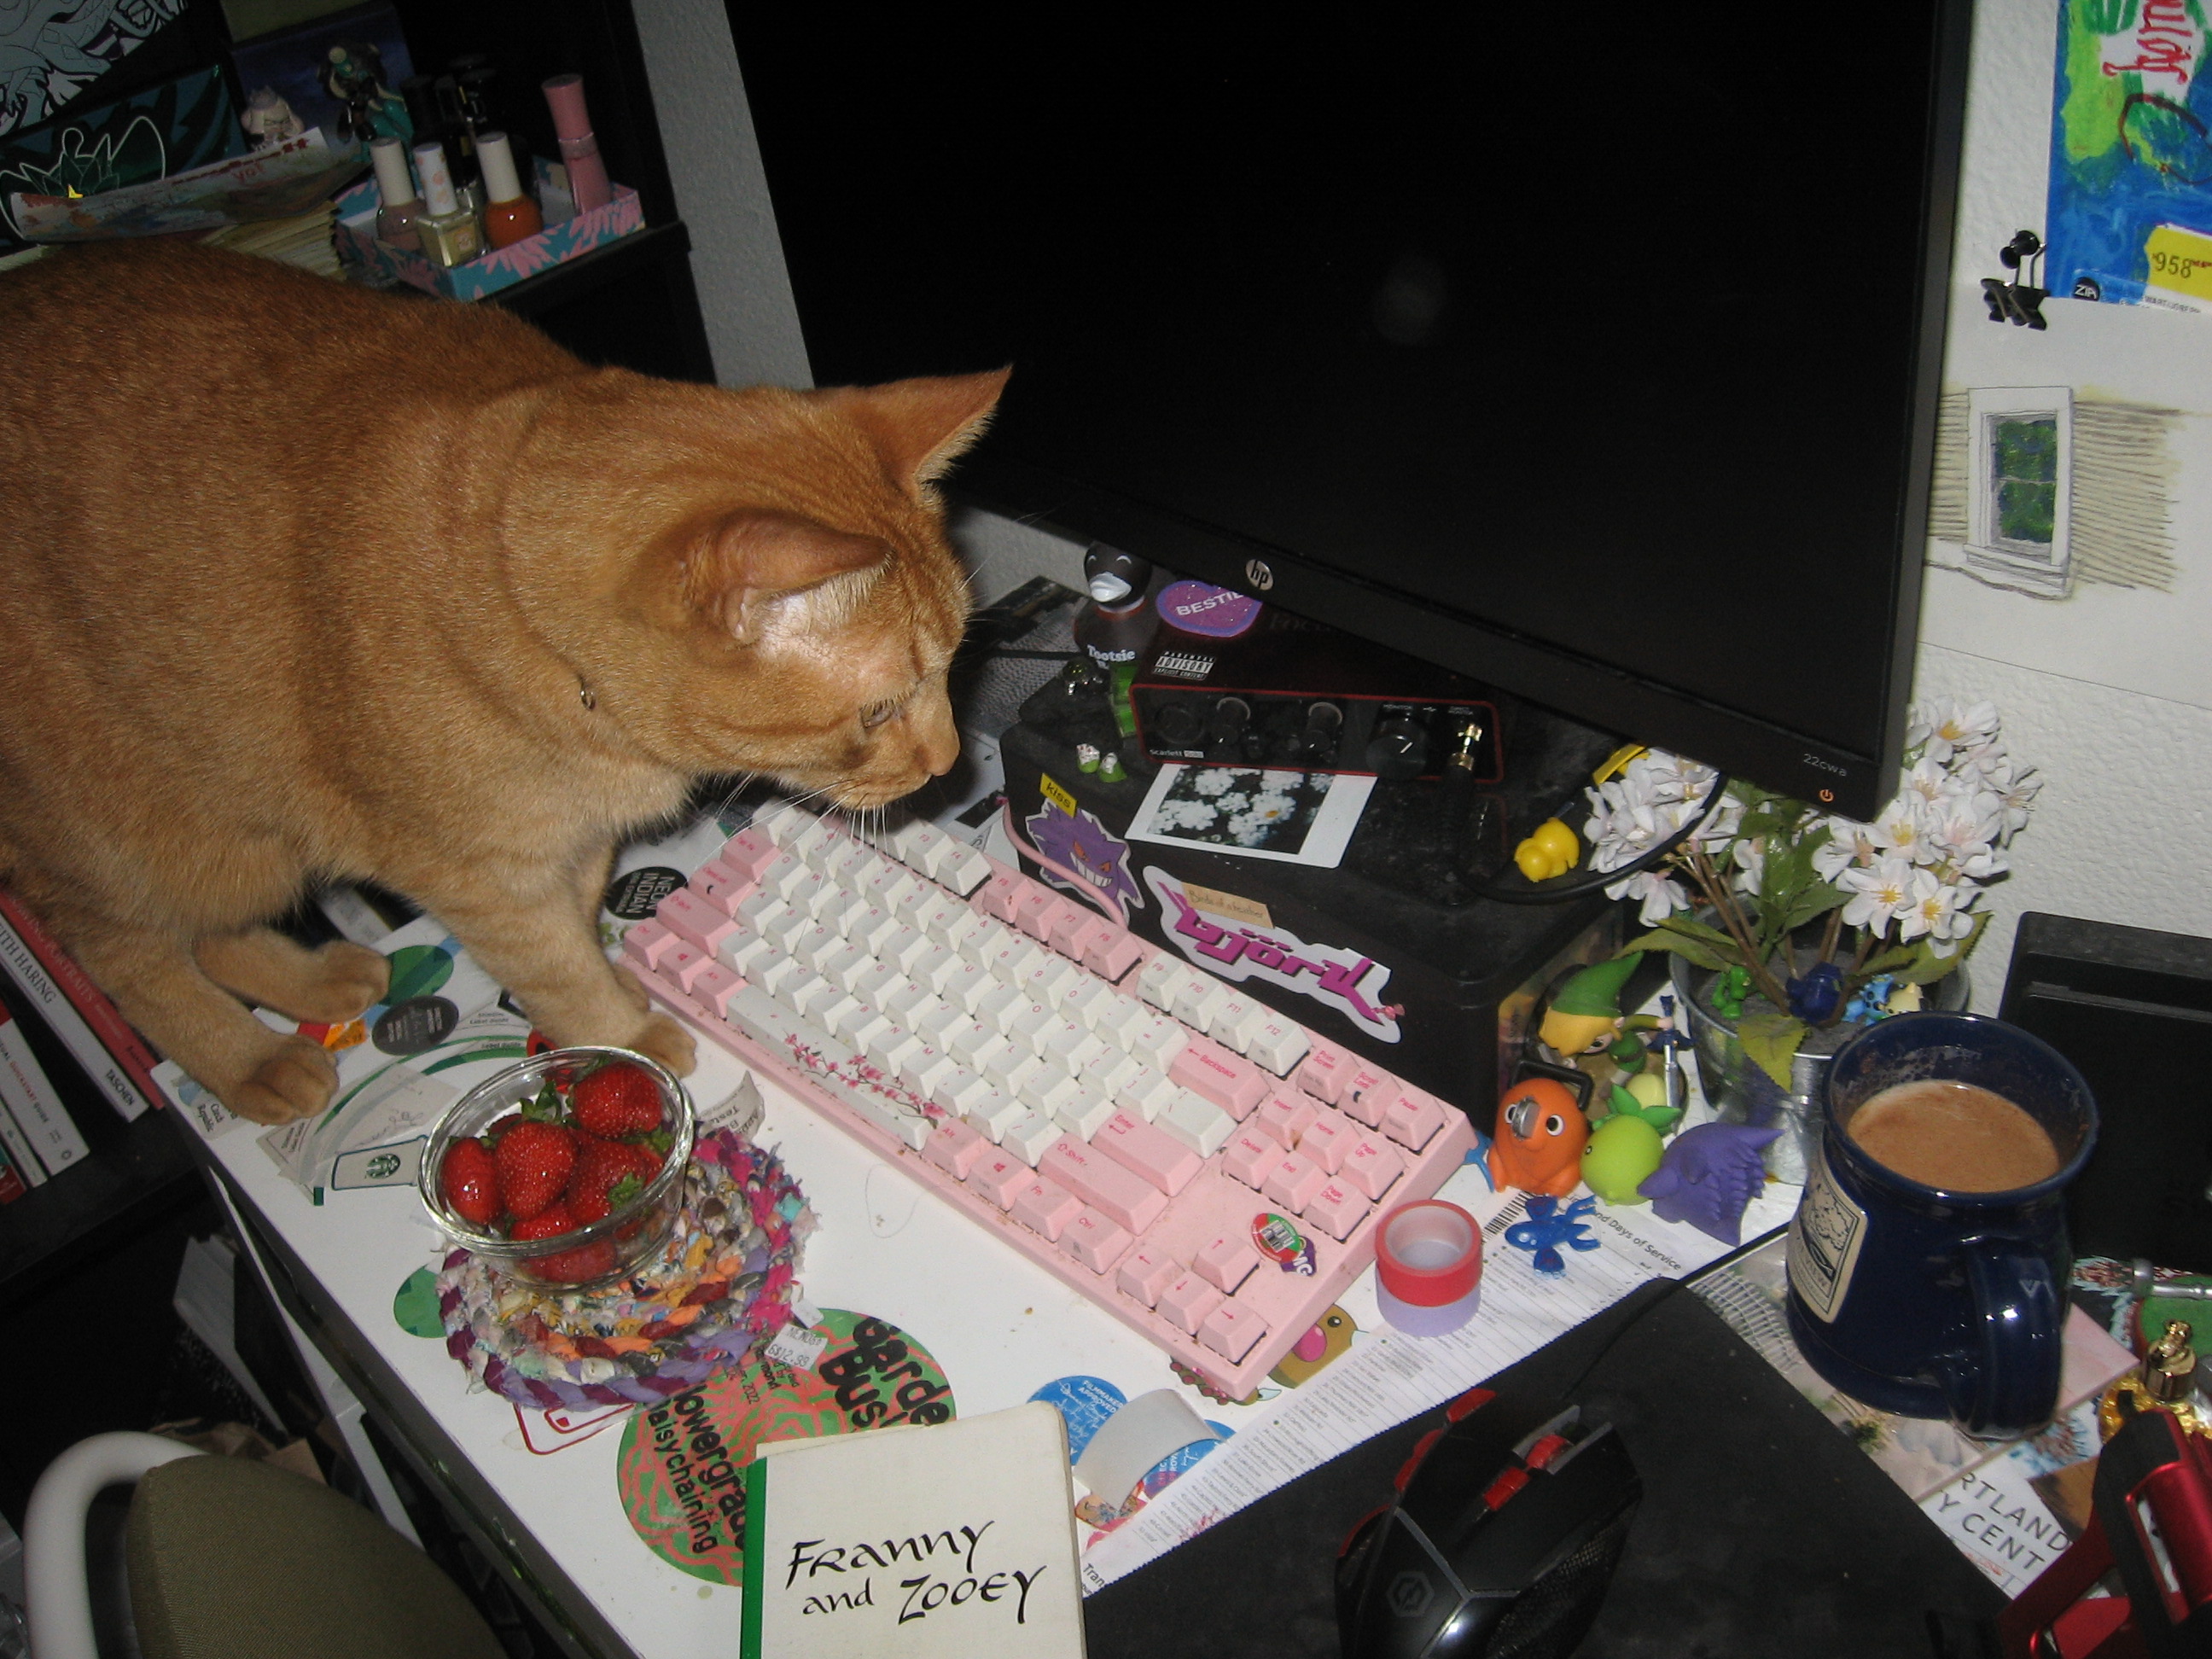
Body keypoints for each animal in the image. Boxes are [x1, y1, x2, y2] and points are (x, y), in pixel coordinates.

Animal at [0, 243, 995, 1132]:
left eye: (957, 664)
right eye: (877, 710)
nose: (952, 762)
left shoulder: (575, 838)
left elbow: (580, 909)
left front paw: (607, 988)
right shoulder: (471, 870)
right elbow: (551, 960)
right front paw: (618, 1037)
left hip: (247, 826)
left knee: (210, 928)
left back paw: (325, 978)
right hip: (128, 827)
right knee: (125, 951)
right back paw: (252, 1061)